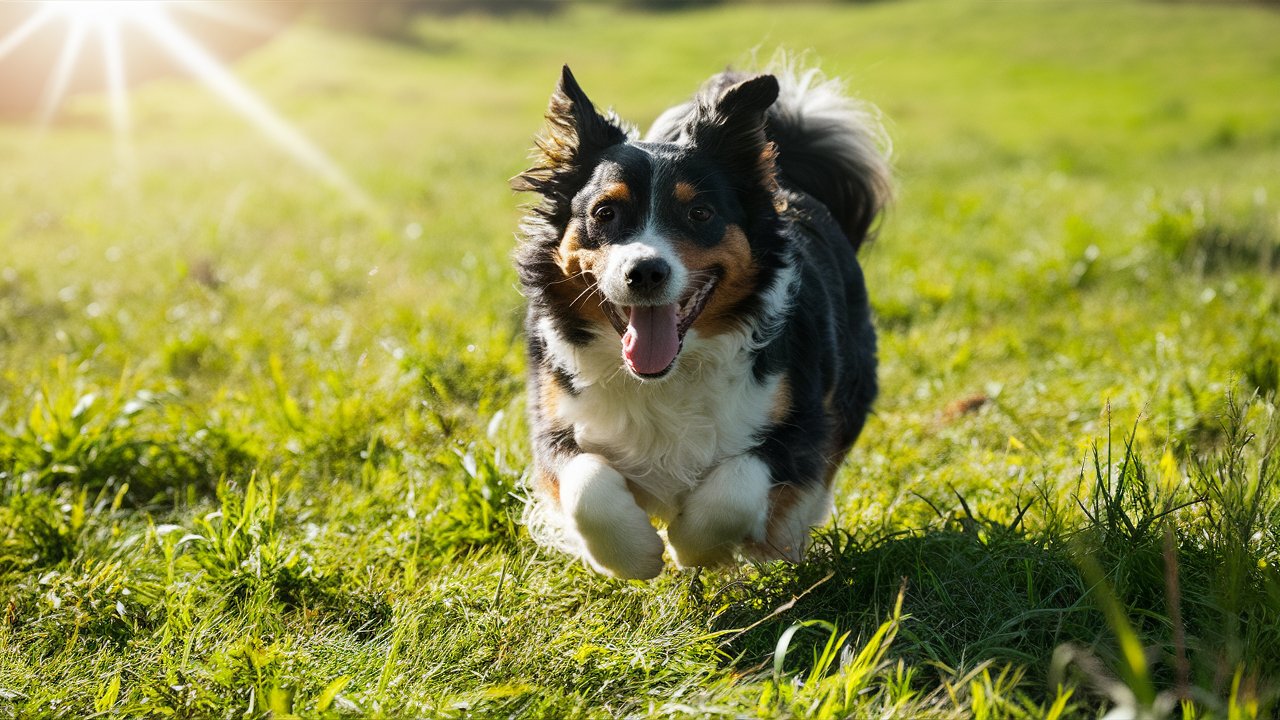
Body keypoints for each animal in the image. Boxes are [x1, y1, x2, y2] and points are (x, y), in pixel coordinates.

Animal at [509, 61, 890, 576]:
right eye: (605, 213)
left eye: (700, 212)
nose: (645, 272)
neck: (668, 373)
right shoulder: (553, 417)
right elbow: (588, 486)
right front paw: (634, 556)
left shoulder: (803, 419)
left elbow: (738, 486)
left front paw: (693, 548)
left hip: (851, 382)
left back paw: (781, 543)